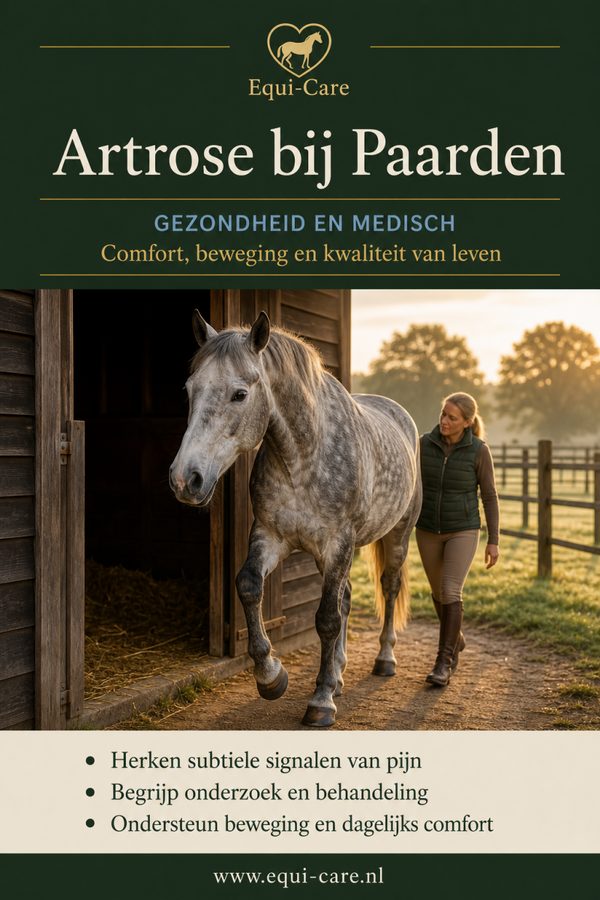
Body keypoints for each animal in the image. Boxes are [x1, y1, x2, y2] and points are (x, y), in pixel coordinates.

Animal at [169, 311, 422, 727]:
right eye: (190, 389)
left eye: (240, 394)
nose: (184, 479)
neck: (302, 459)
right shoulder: (270, 535)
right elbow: (249, 586)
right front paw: (271, 676)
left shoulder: (338, 545)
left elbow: (326, 619)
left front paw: (321, 702)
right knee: (346, 598)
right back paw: (338, 673)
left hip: (397, 536)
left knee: (388, 588)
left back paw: (384, 659)